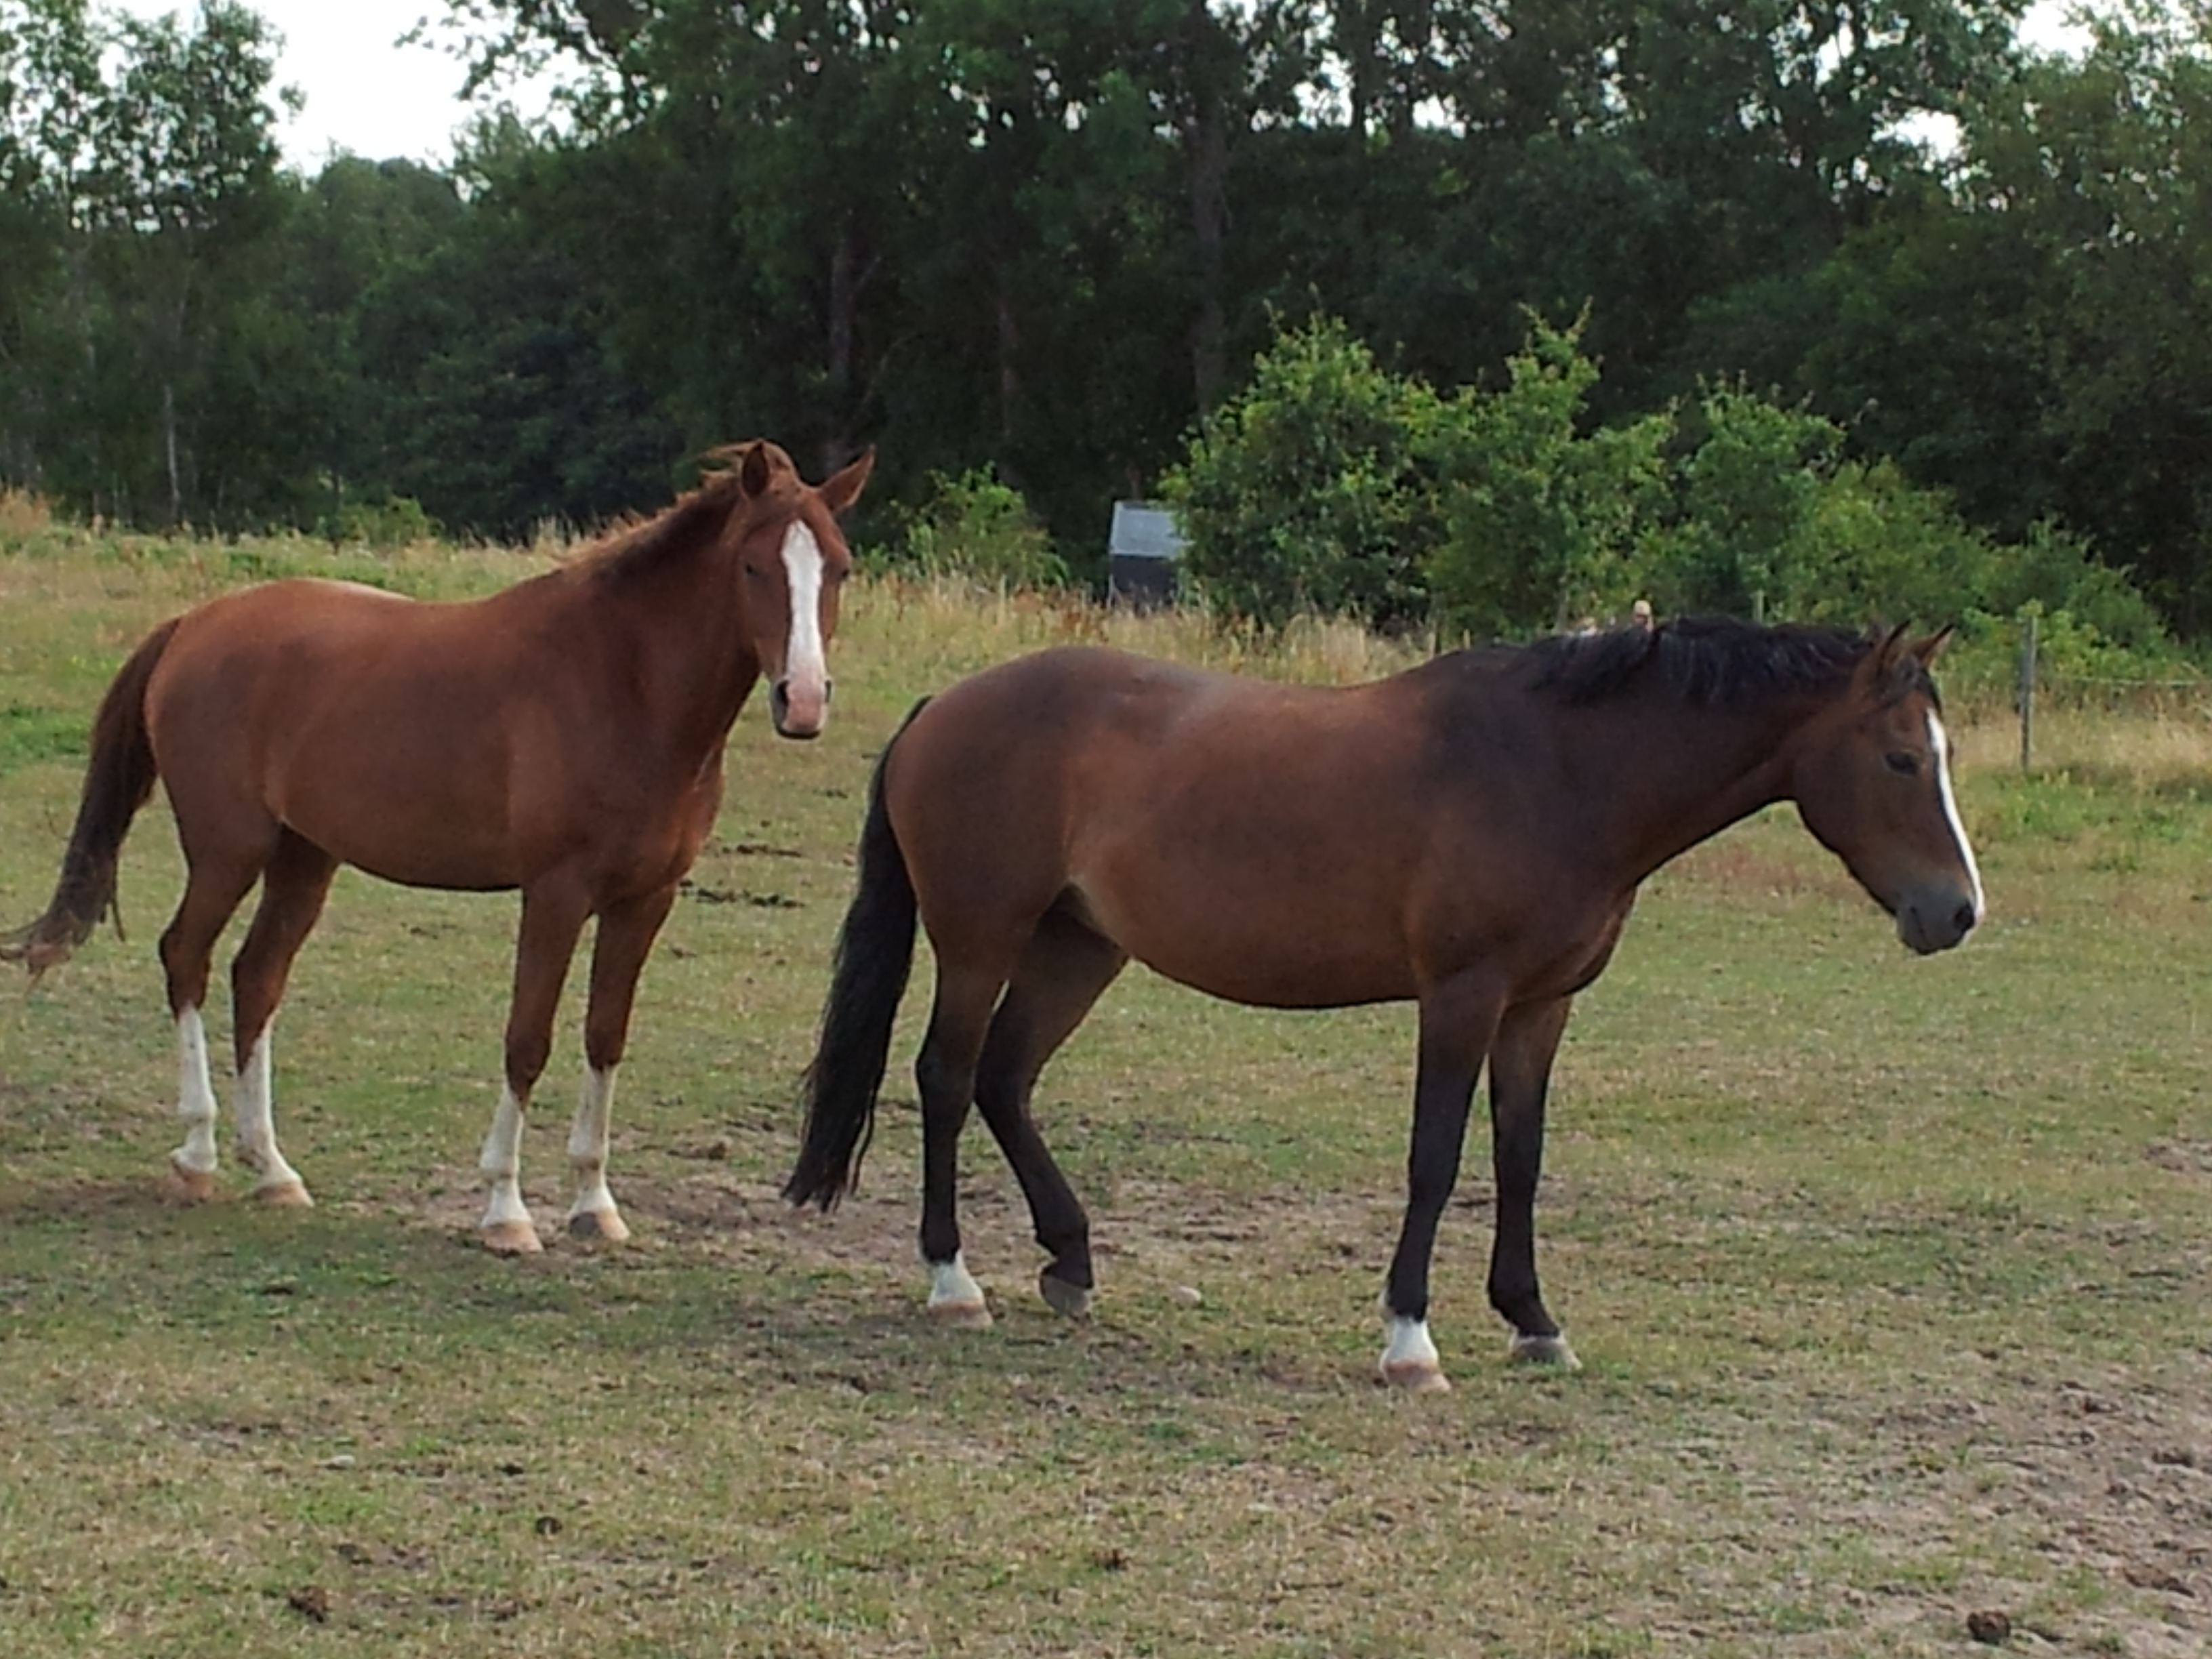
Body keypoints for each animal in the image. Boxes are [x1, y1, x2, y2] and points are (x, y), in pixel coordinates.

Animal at [8, 436, 872, 1256]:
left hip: (303, 859)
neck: (624, 684)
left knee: (256, 979)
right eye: (754, 565)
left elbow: (605, 1038)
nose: (802, 700)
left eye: (839, 567)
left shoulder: (644, 901)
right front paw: (506, 1212)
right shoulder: (556, 894)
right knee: (185, 956)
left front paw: (594, 1206)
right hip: (229, 852)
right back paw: (198, 1154)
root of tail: (193, 626)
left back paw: (274, 1170)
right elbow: (528, 1040)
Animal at [783, 619, 1990, 1389]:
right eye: (1898, 759)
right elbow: (1436, 1161)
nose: (1958, 911)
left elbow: (1519, 1160)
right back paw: (954, 1279)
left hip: (1079, 948)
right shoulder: (1461, 998)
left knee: (1005, 1079)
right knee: (947, 1078)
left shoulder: (1539, 1009)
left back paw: (1072, 1264)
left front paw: (1534, 1322)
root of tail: (944, 706)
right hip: (982, 940)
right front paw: (1412, 1338)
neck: (1559, 770)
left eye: (1938, 756)